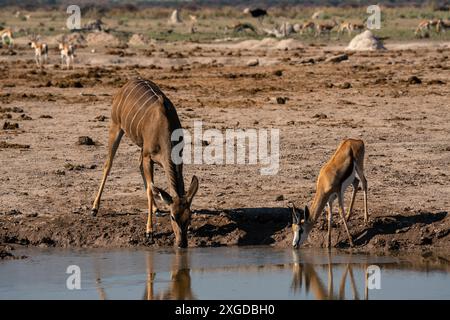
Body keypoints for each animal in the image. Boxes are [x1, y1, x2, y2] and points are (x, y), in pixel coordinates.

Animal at [91, 77, 199, 248]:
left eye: (188, 217)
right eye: (172, 217)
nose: (182, 243)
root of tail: (128, 83)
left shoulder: (178, 158)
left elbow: (154, 186)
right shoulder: (149, 156)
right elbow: (149, 189)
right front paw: (149, 232)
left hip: (140, 145)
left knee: (140, 167)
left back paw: (156, 209)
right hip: (116, 126)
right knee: (108, 164)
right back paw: (94, 208)